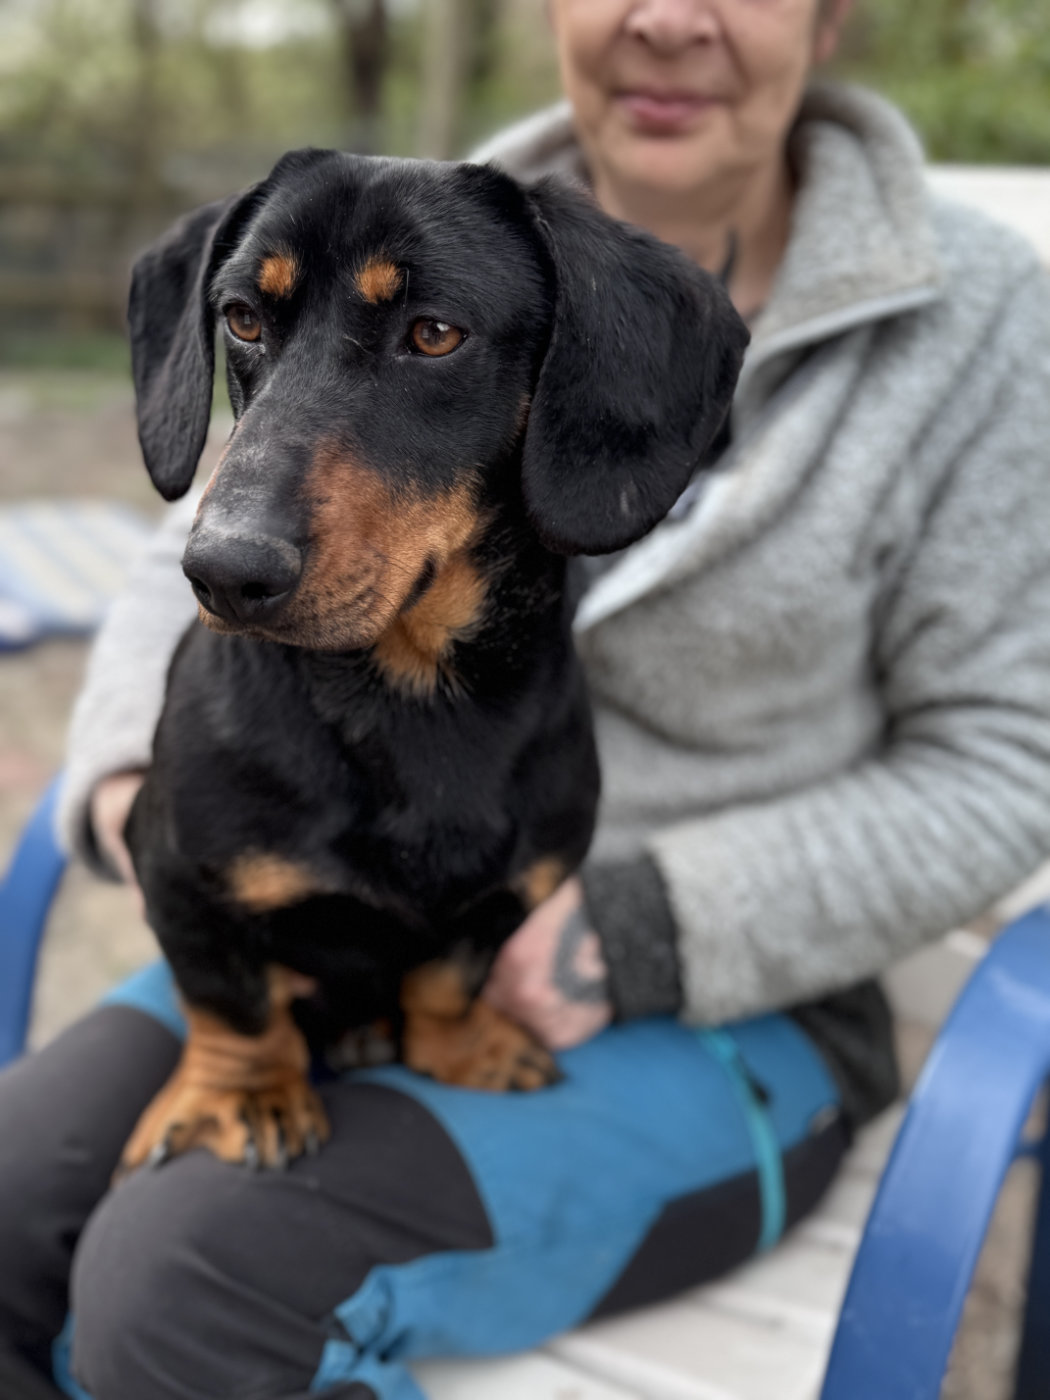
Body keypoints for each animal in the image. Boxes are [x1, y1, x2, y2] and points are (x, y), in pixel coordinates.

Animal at [117, 148, 748, 1172]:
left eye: (435, 334)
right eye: (243, 317)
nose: (221, 570)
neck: (414, 699)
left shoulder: (515, 889)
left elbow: (451, 975)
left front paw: (460, 1046)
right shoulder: (173, 875)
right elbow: (232, 1001)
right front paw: (246, 1092)